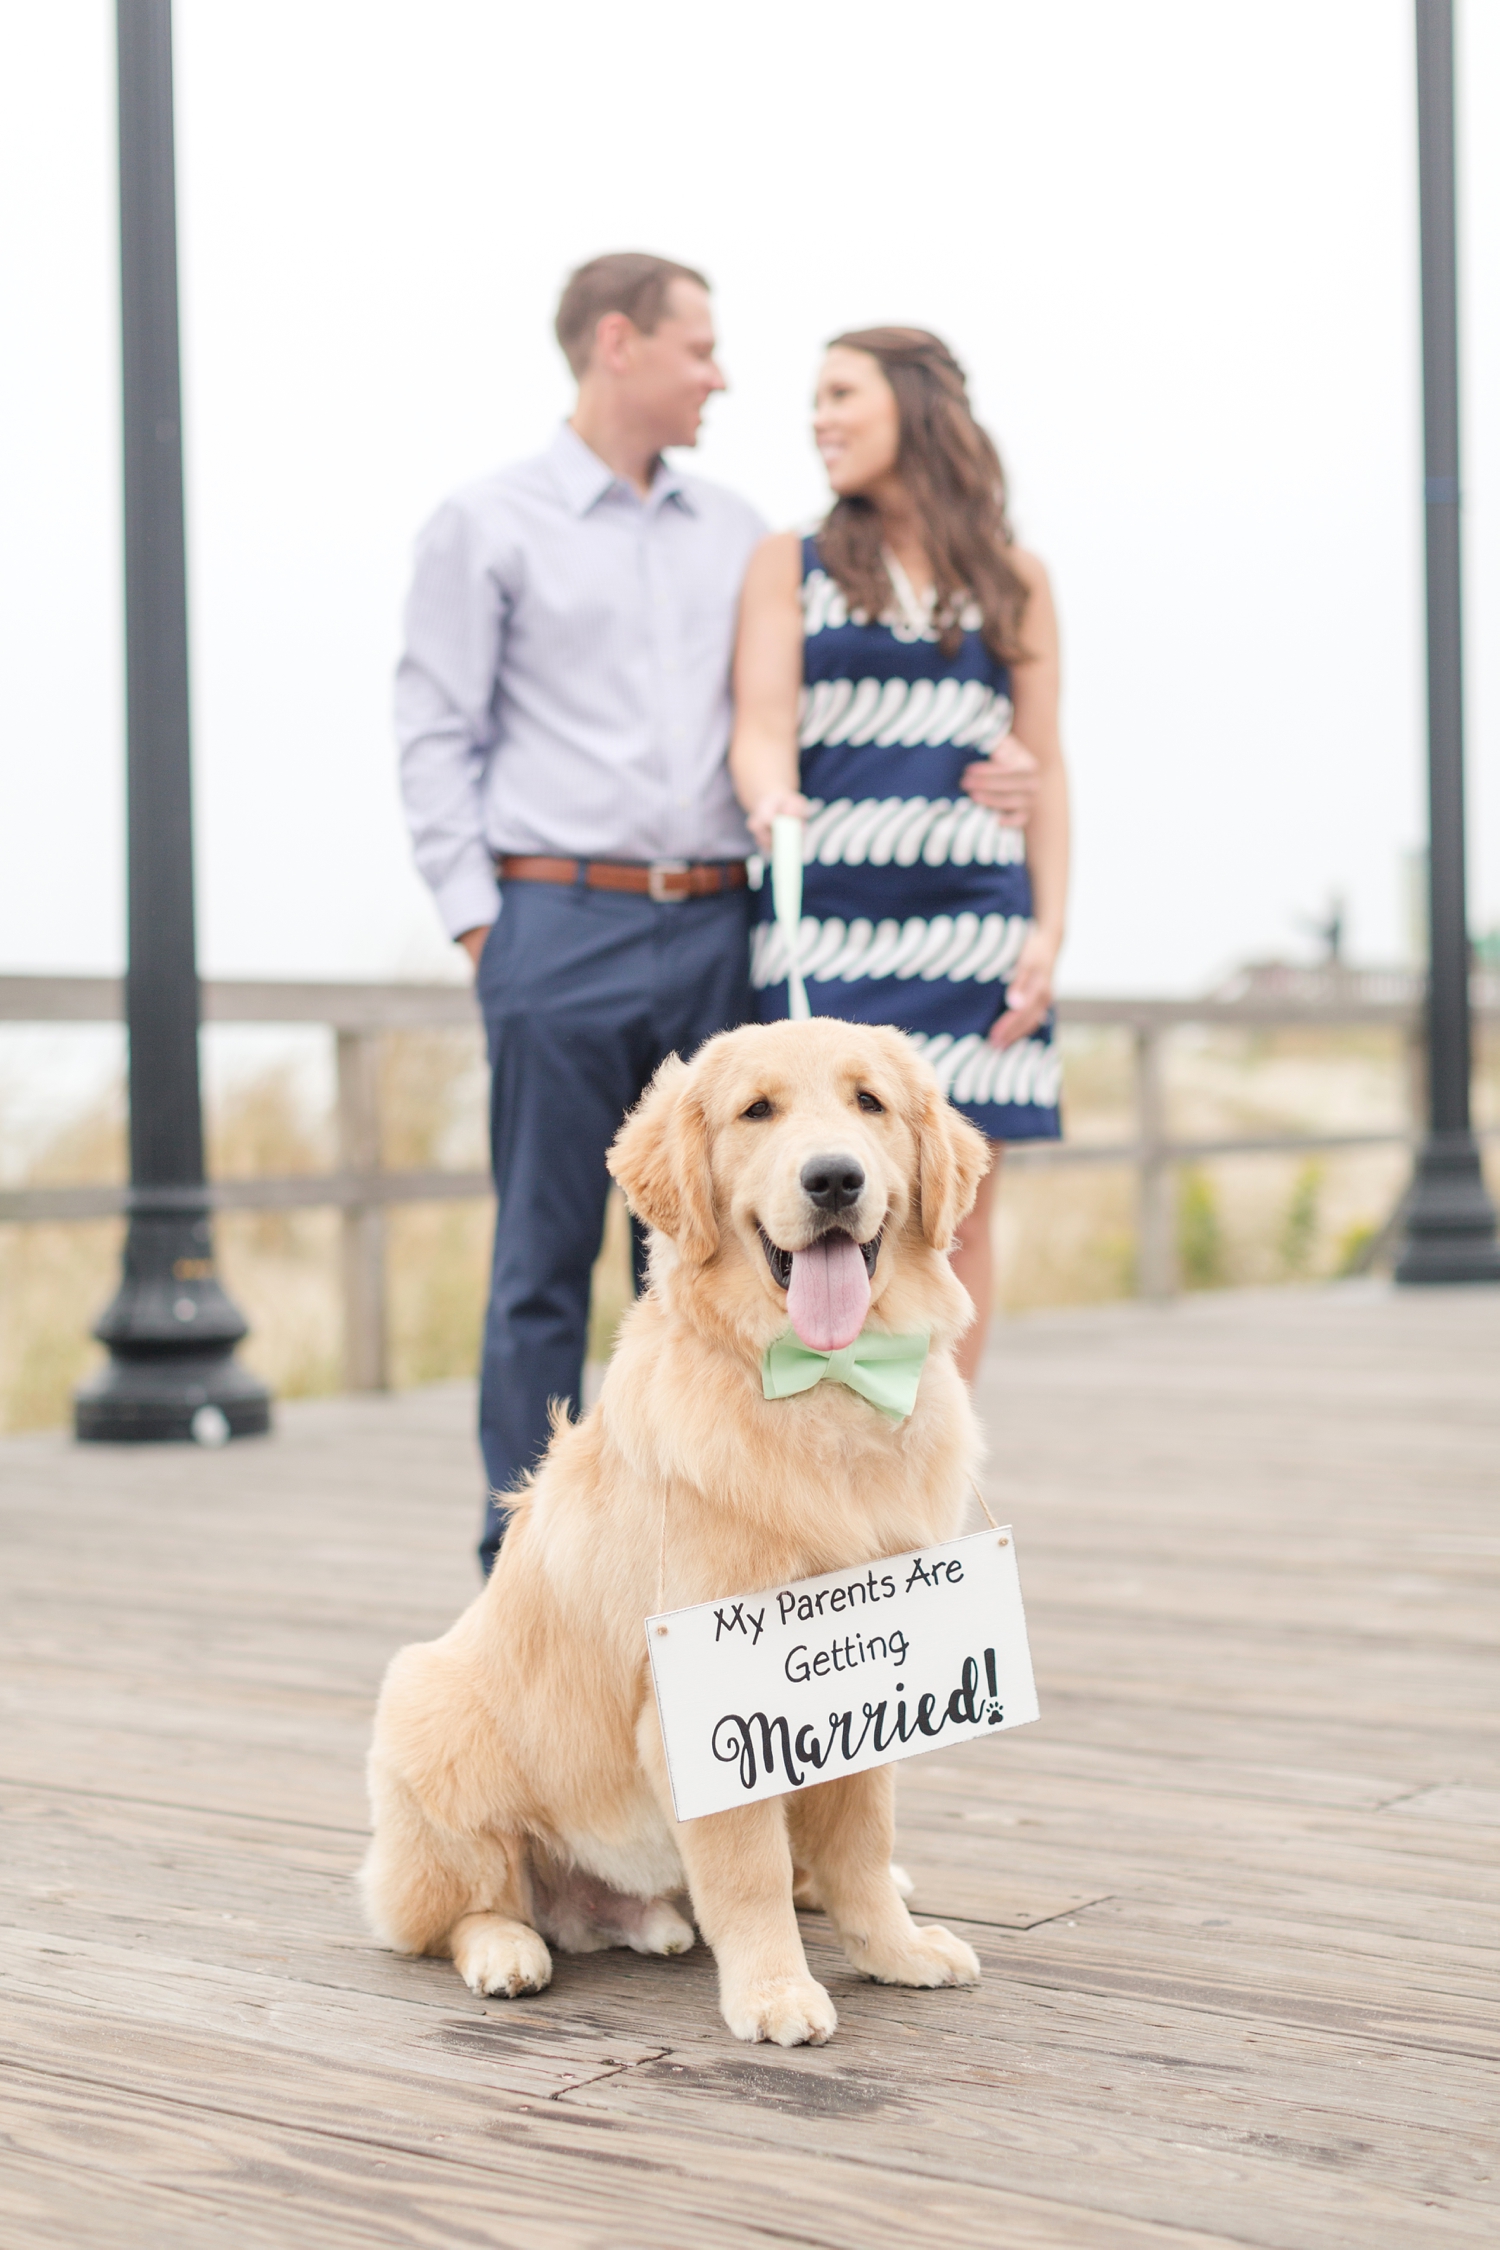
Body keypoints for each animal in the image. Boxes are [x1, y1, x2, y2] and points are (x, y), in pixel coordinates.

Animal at [362, 1021, 989, 2043]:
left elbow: (861, 1836)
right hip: (428, 1709)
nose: (834, 1180)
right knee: (457, 1910)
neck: (821, 1387)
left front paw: (892, 1950)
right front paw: (775, 1992)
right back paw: (508, 1951)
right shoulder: (706, 1700)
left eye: (869, 1103)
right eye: (757, 1111)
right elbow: (747, 1867)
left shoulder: (859, 1677)